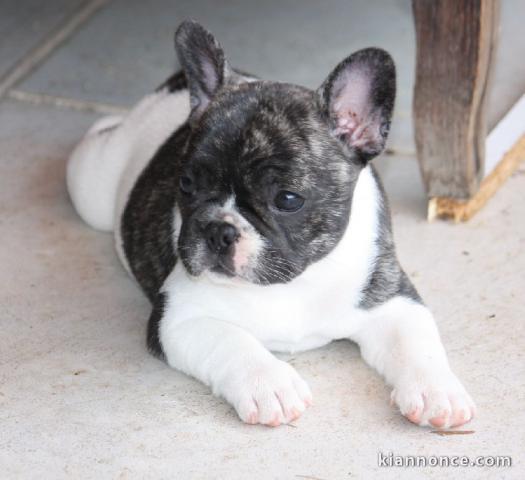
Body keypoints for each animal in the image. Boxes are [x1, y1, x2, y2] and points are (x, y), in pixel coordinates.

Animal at [66, 21, 474, 428]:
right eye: (186, 184)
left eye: (287, 200)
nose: (218, 229)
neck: (292, 281)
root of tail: (177, 83)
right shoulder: (180, 316)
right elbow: (232, 342)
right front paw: (270, 386)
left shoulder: (392, 299)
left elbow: (416, 344)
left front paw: (437, 391)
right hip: (92, 190)